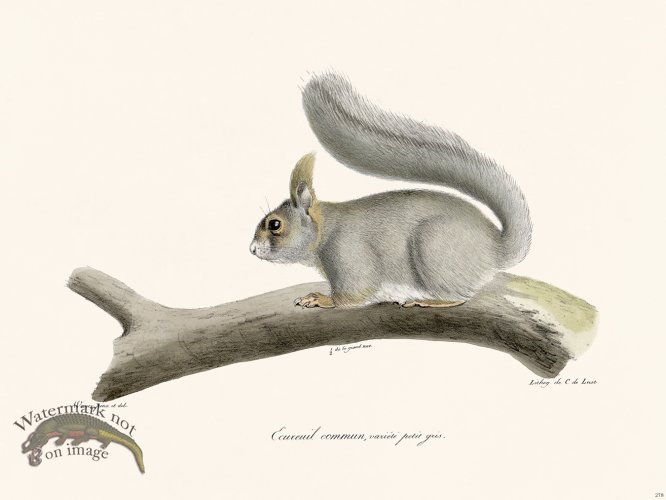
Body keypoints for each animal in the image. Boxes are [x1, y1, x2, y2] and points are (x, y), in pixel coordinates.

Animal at [249, 73, 532, 309]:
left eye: (275, 224)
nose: (251, 250)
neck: (326, 229)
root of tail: (494, 249)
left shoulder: (348, 254)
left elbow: (355, 293)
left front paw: (320, 299)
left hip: (435, 248)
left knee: (459, 296)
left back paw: (429, 300)